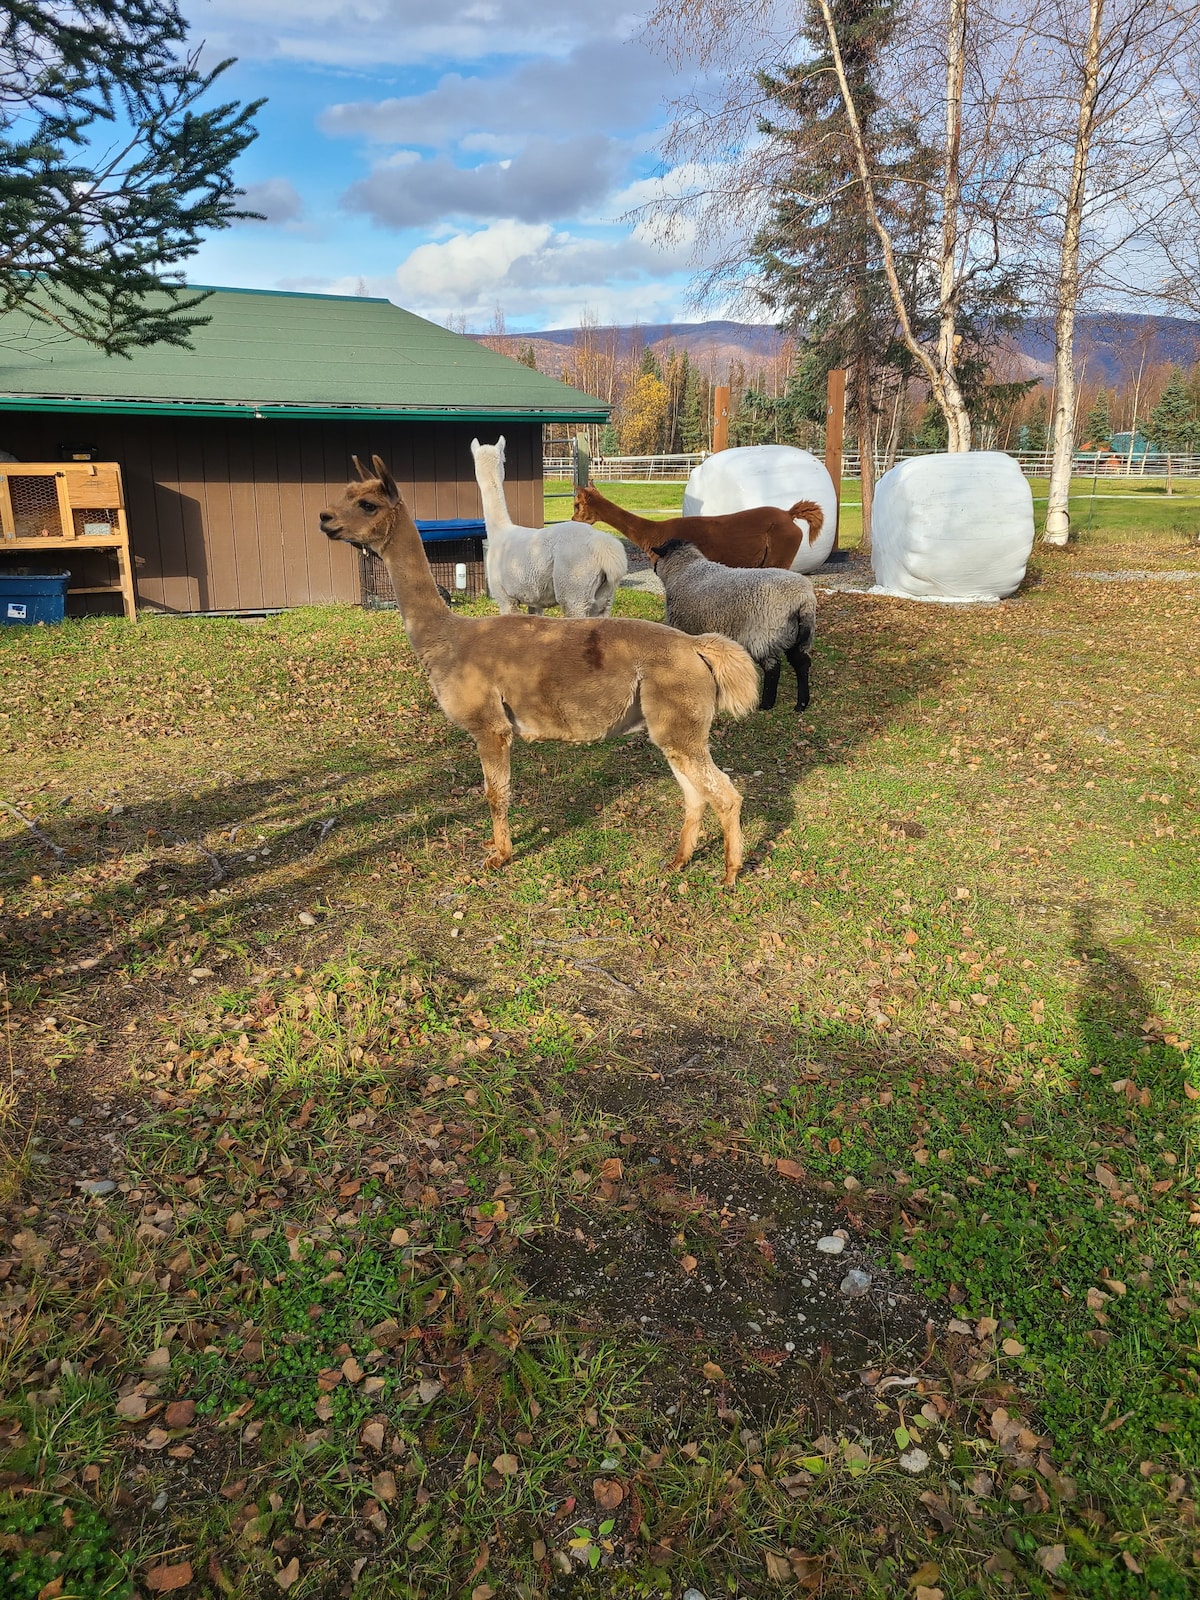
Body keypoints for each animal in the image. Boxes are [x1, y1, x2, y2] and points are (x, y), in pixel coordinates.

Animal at [659, 537, 819, 713]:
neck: (685, 569)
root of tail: (804, 599)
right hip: (795, 635)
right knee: (802, 663)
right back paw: (801, 704)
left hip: (764, 635)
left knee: (773, 668)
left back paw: (766, 704)